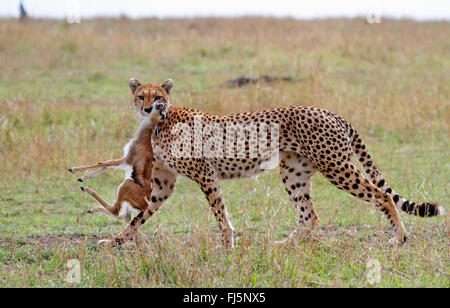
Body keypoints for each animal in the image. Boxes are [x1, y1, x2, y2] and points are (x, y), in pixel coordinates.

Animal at [102, 79, 442, 248]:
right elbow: (140, 217)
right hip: (294, 173)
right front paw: (116, 240)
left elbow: (219, 212)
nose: (149, 107)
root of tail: (329, 111)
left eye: (158, 96)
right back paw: (286, 244)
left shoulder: (205, 175)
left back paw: (399, 237)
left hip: (336, 167)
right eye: (141, 96)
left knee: (381, 195)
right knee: (309, 216)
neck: (161, 121)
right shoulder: (164, 184)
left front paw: (227, 244)